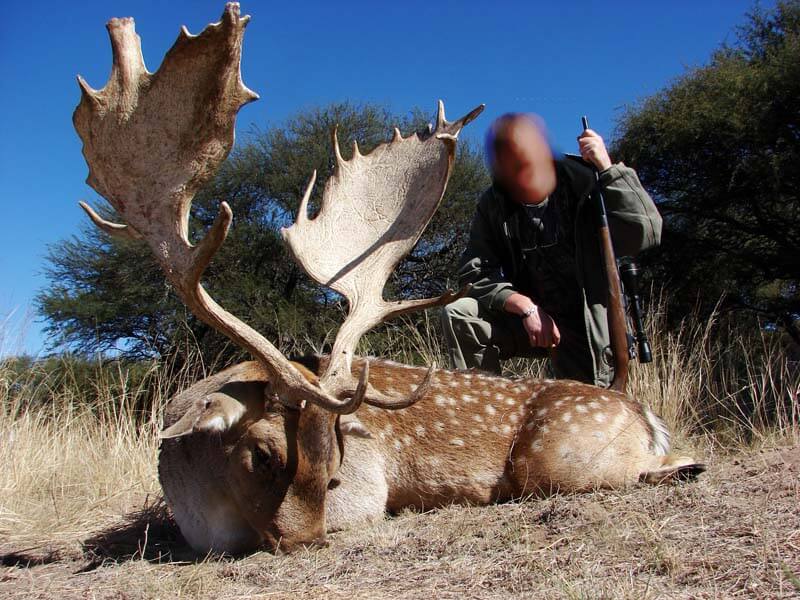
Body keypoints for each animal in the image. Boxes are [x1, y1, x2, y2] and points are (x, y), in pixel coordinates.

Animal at [73, 3, 705, 555]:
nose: (304, 540)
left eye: (336, 468)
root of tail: (642, 411)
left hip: (557, 456)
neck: (206, 510)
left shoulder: (370, 485)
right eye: (260, 453)